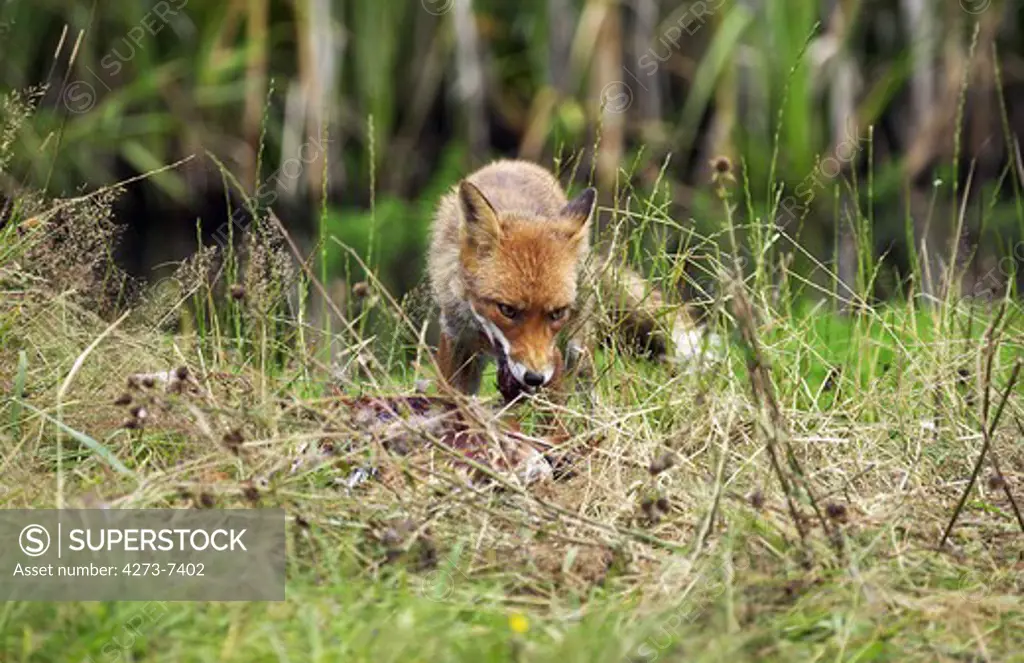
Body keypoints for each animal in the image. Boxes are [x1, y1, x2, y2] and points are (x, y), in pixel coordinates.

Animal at [428, 159, 598, 399]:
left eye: (557, 313)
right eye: (507, 310)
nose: (535, 378)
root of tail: (513, 163)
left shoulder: (552, 355)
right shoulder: (456, 338)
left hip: (577, 342)